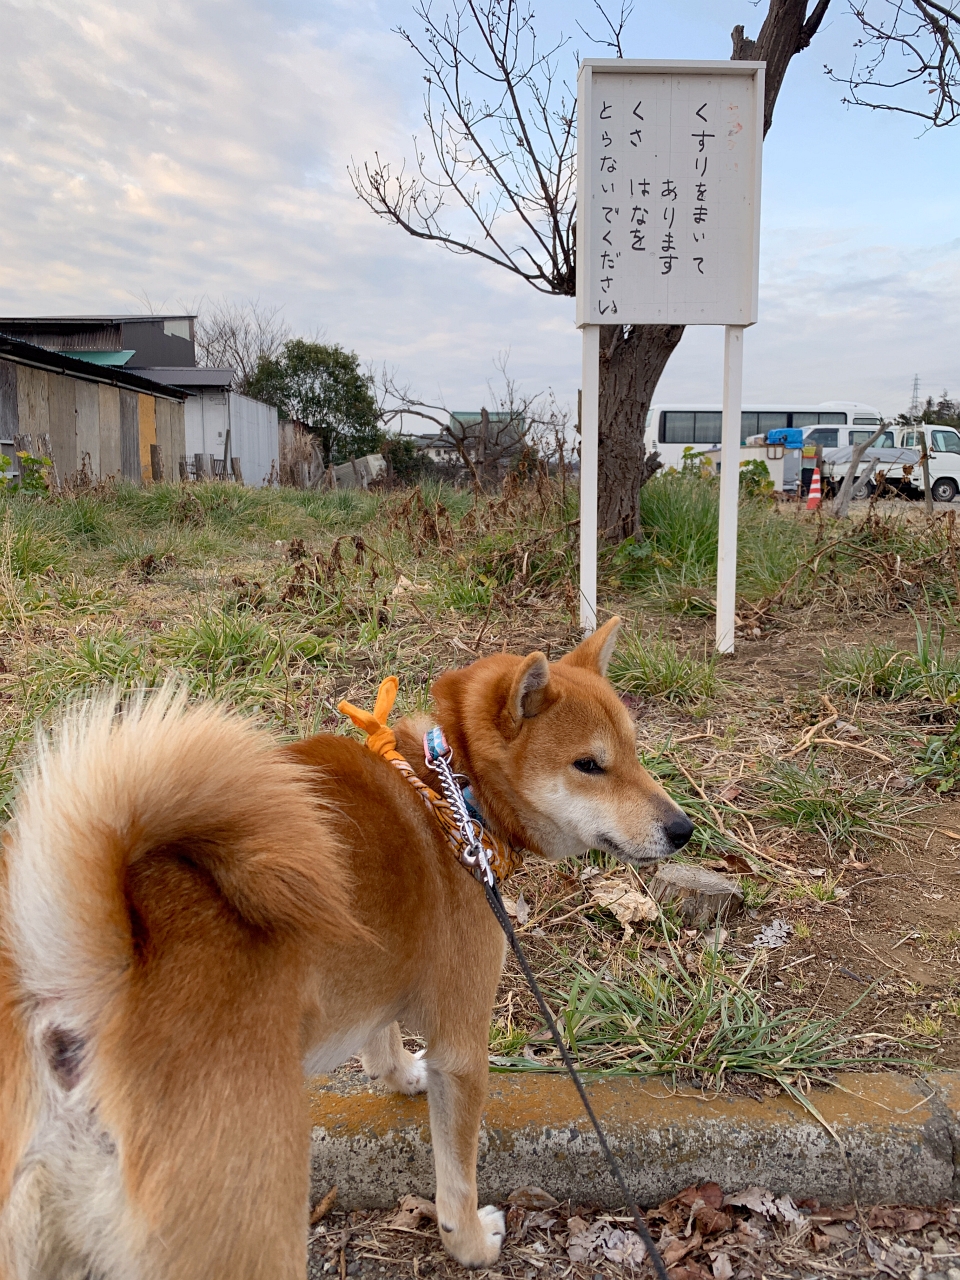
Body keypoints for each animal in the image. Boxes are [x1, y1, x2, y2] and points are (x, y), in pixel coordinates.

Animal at [0, 614, 691, 1274]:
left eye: (633, 752)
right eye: (589, 765)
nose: (683, 828)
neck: (452, 793)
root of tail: (79, 992)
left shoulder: (379, 967)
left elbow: (381, 1034)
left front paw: (403, 1073)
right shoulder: (463, 1044)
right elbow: (456, 1180)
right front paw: (470, 1243)